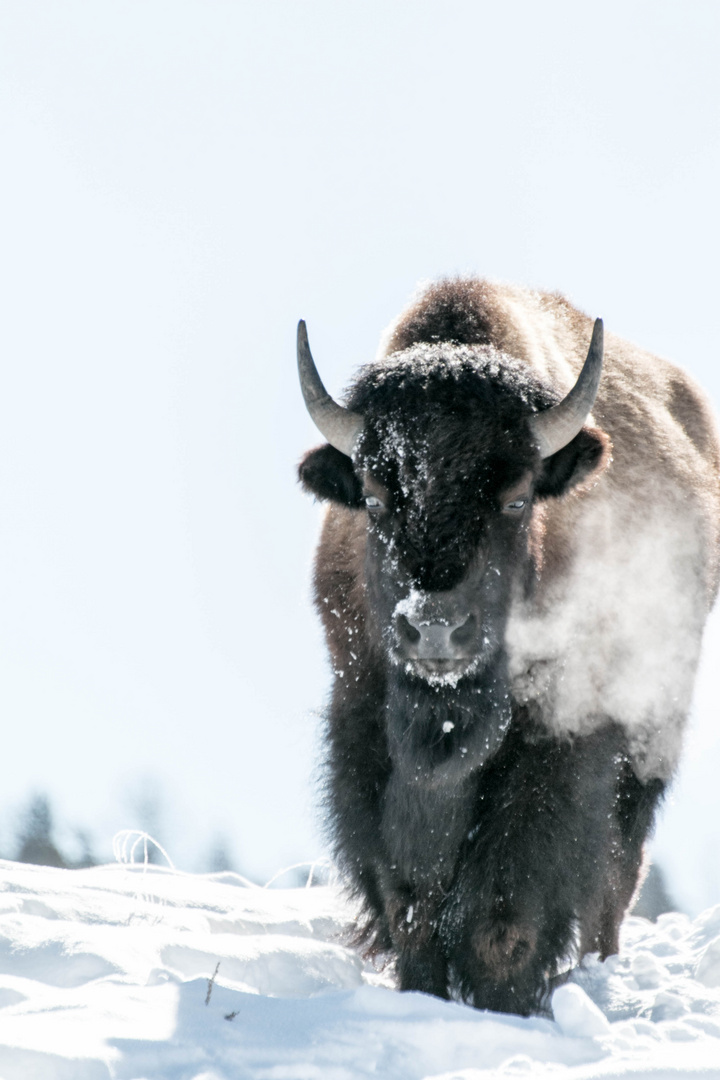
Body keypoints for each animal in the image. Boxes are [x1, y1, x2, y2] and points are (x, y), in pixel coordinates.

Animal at [293, 276, 720, 1010]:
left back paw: (595, 971)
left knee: (619, 868)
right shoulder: (364, 725)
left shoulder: (565, 735)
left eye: (518, 499)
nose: (435, 626)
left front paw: (505, 1000)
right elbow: (410, 893)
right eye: (374, 499)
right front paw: (425, 991)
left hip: (652, 732)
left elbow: (511, 901)